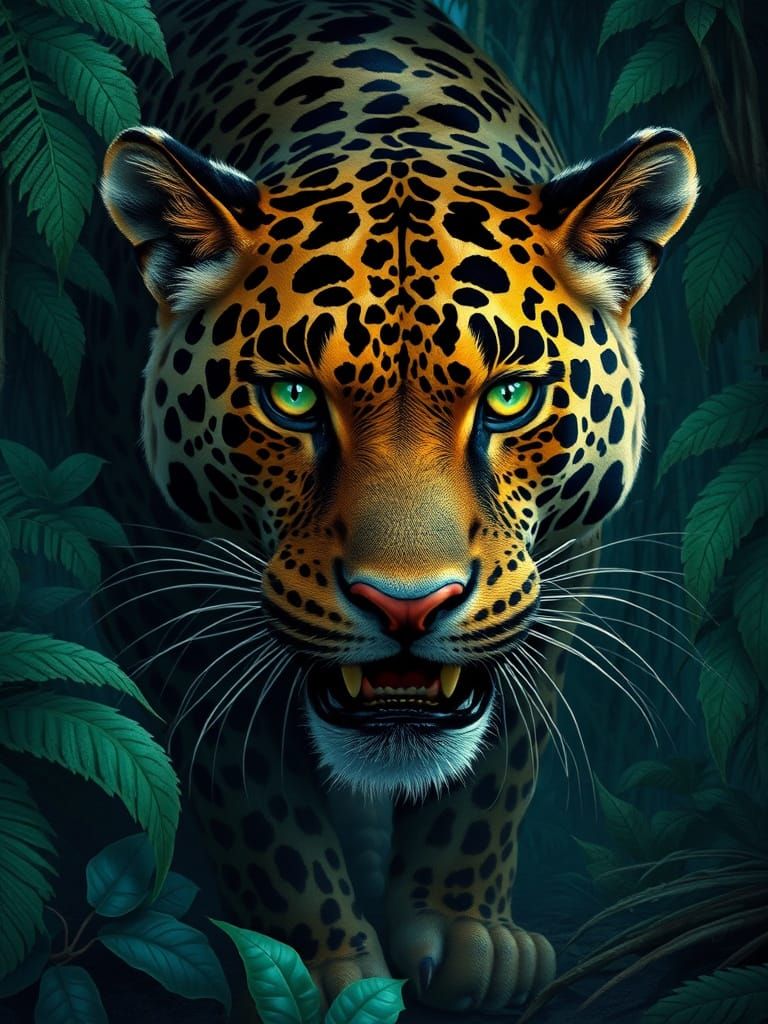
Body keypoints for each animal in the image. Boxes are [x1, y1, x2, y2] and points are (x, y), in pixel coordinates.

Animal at [96, 0, 697, 1013]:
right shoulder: (160, 592)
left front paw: (465, 931)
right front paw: (316, 966)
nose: (406, 606)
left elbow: (501, 759)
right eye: (293, 398)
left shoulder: (566, 571)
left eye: (510, 398)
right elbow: (257, 809)